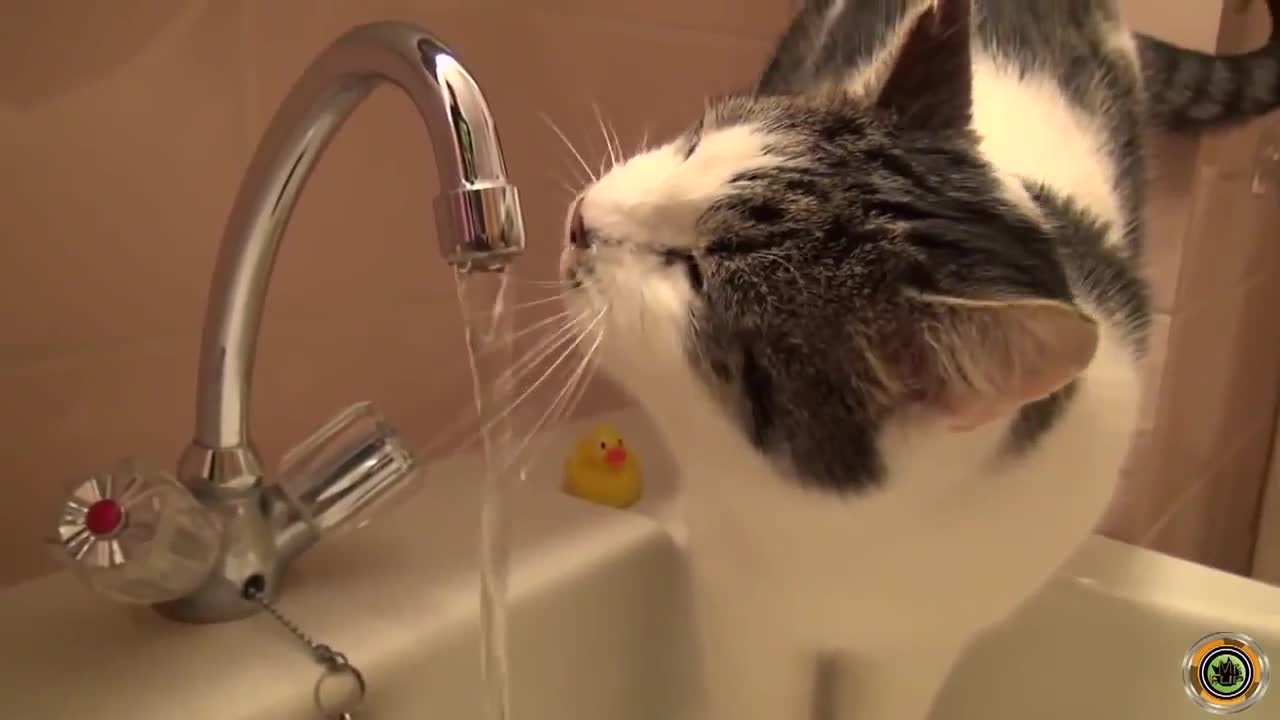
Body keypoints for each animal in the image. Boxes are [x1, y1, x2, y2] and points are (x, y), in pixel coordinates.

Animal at [565, 1, 1280, 717]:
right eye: (692, 148)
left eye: (693, 272)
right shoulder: (741, 610)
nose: (580, 218)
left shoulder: (917, 644)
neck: (829, 527)